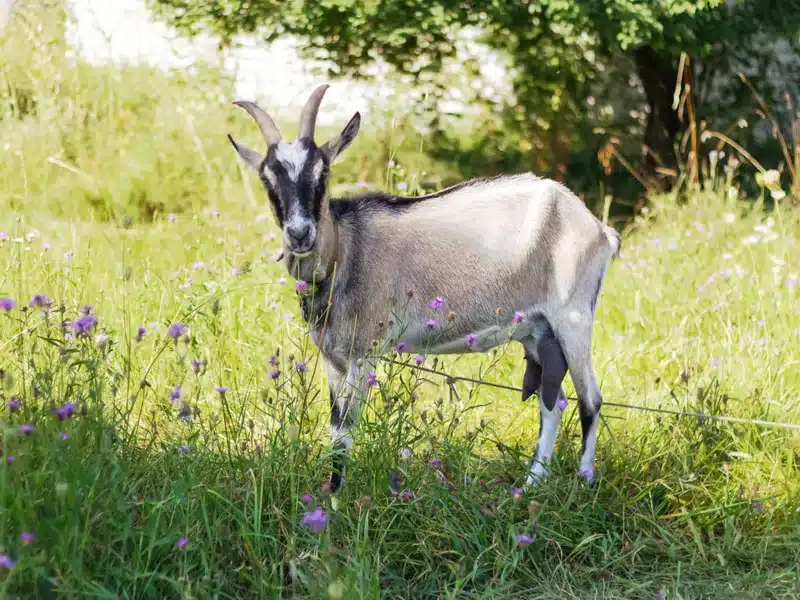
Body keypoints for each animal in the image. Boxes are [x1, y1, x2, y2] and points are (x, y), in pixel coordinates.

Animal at [228, 85, 620, 491]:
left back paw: (585, 481)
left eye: (322, 173)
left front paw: (336, 501)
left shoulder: (363, 352)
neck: (348, 250)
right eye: (267, 180)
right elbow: (336, 429)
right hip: (538, 331)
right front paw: (328, 496)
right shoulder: (333, 357)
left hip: (573, 317)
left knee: (590, 400)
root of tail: (599, 229)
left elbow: (346, 432)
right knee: (552, 401)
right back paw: (529, 485)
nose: (300, 233)